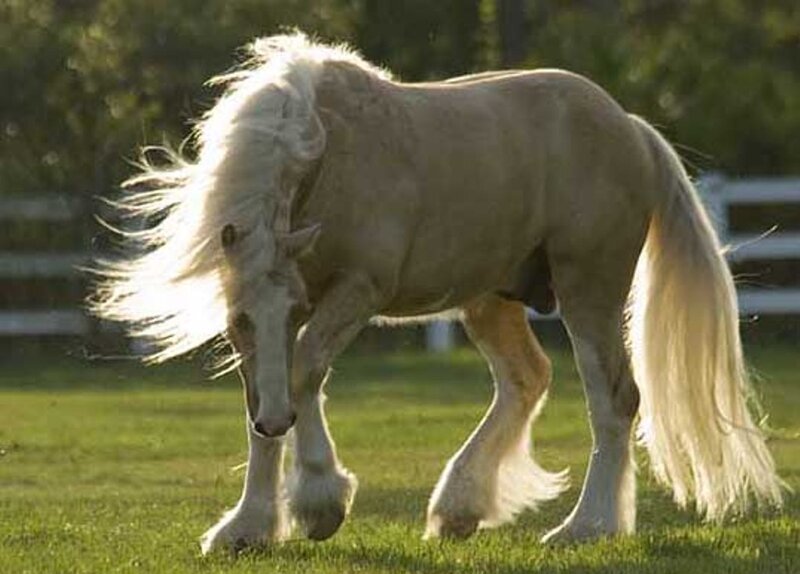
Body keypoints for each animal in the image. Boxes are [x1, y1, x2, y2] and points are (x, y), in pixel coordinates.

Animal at [91, 33, 784, 553]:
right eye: (236, 320)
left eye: (285, 309)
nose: (274, 422)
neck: (330, 157)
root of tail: (632, 126)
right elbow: (269, 390)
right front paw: (248, 527)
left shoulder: (356, 290)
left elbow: (304, 370)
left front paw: (319, 503)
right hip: (491, 298)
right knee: (525, 380)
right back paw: (459, 509)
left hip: (588, 289)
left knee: (613, 399)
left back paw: (584, 528)